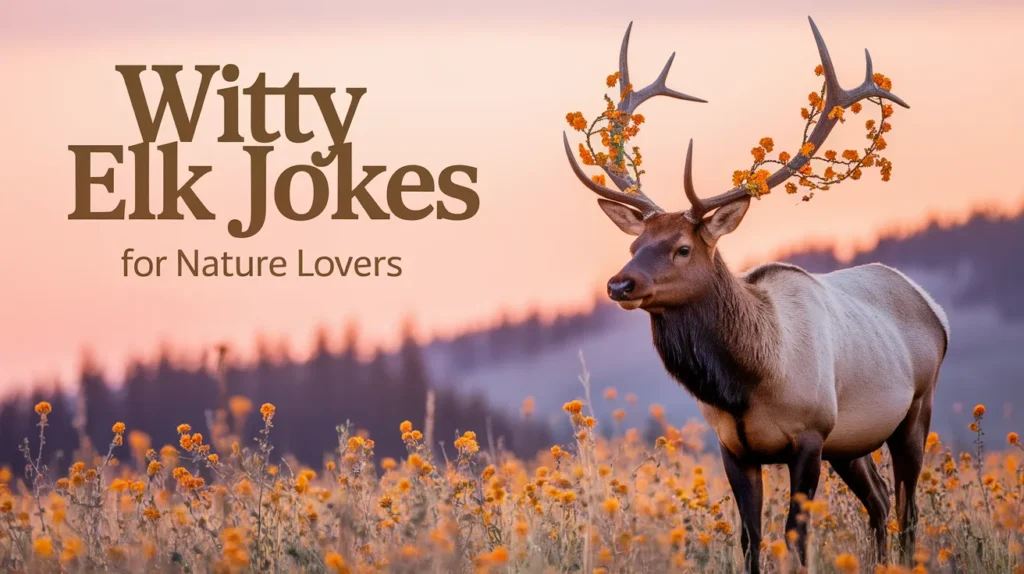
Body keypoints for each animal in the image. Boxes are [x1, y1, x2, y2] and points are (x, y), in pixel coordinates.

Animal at [562, 18, 949, 573]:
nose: (619, 284)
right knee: (878, 502)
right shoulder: (735, 447)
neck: (749, 380)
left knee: (908, 510)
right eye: (634, 244)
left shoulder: (810, 433)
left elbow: (795, 535)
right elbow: (750, 538)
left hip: (916, 407)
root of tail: (933, 308)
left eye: (682, 248)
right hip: (851, 442)